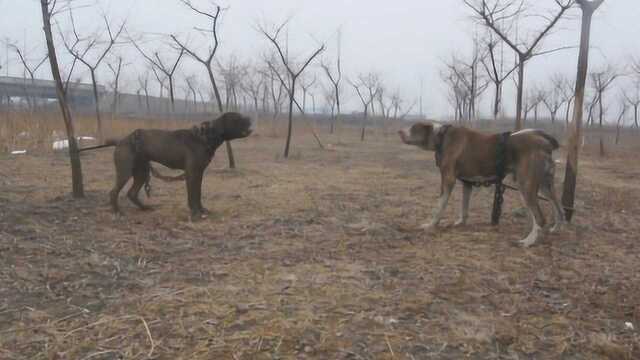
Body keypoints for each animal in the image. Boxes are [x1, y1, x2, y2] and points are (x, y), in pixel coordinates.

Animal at [103, 112, 252, 219]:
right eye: (237, 118)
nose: (250, 118)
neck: (204, 138)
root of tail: (120, 141)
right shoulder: (192, 173)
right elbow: (192, 195)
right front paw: (195, 214)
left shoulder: (199, 173)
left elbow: (198, 194)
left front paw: (202, 210)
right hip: (125, 171)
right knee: (114, 192)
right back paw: (118, 212)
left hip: (142, 172)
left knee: (132, 193)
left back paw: (145, 208)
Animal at [400, 122, 564, 246]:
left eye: (414, 128)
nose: (399, 131)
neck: (442, 136)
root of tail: (545, 143)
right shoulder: (467, 183)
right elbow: (464, 208)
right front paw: (460, 222)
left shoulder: (448, 179)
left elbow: (439, 206)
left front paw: (430, 225)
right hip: (545, 187)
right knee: (558, 208)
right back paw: (555, 229)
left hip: (525, 186)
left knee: (540, 218)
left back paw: (528, 242)